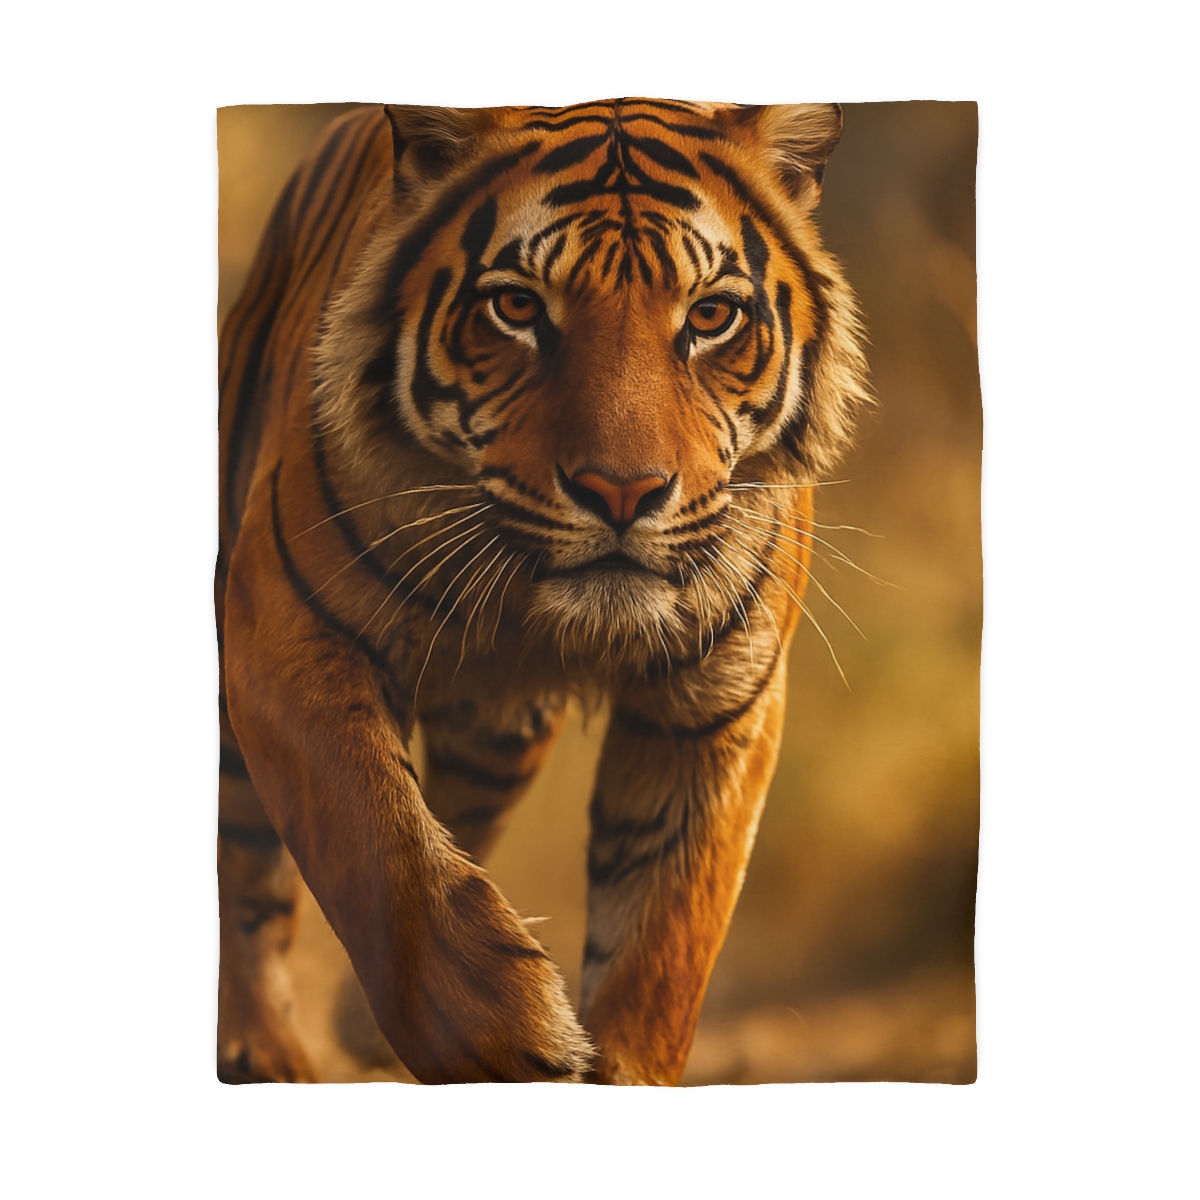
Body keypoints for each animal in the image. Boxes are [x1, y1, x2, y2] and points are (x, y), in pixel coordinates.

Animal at [216, 99, 868, 1085]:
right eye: (517, 307)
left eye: (711, 316)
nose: (623, 492)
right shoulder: (285, 631)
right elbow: (377, 844)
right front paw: (510, 1037)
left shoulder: (715, 708)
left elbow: (660, 943)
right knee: (247, 863)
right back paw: (263, 1050)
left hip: (503, 735)